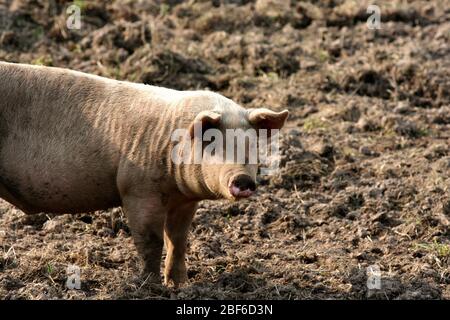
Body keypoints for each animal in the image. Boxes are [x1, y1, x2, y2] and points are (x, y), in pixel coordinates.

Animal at [0, 61, 288, 286]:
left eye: (253, 147)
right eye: (214, 145)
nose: (243, 180)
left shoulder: (185, 202)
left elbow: (178, 240)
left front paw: (180, 285)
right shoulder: (138, 190)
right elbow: (151, 240)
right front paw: (150, 285)